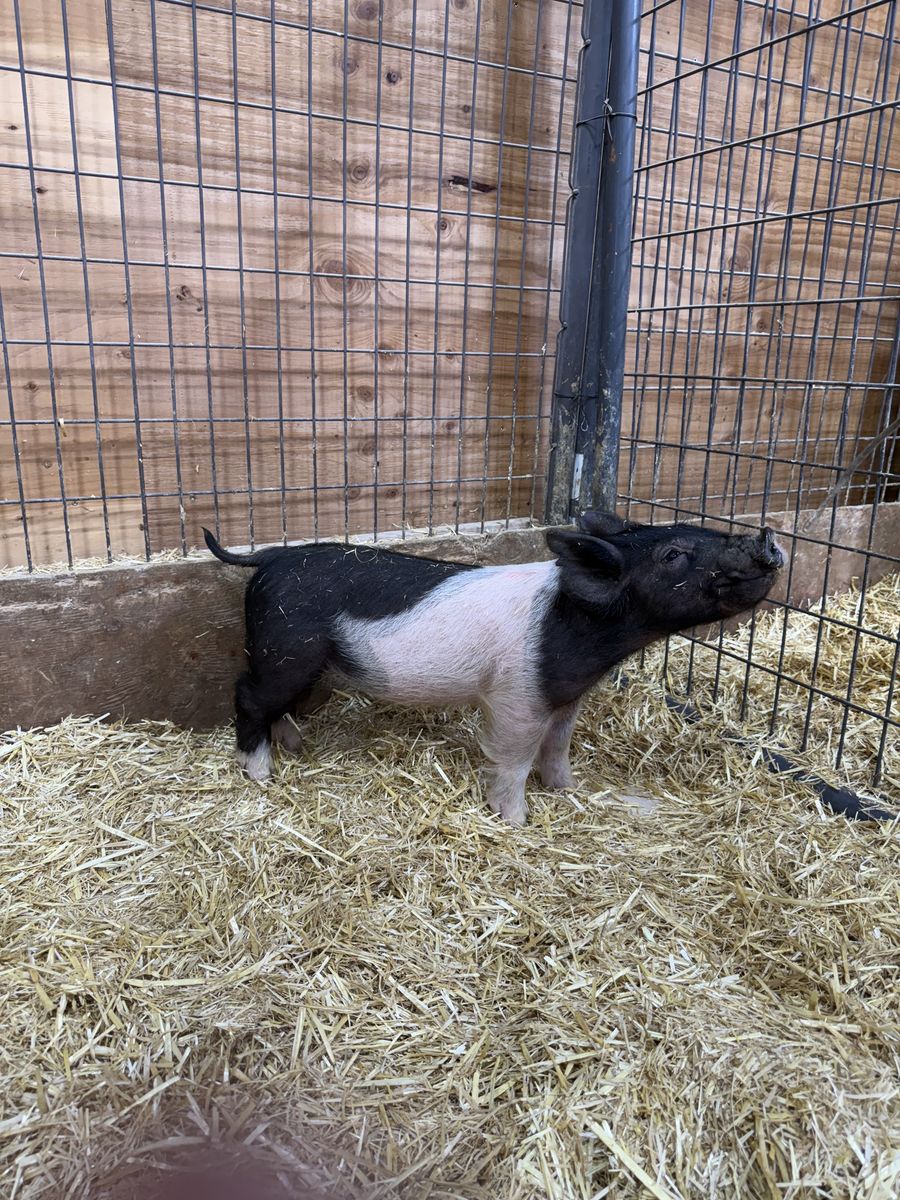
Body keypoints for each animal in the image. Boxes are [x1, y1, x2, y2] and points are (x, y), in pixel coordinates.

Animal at [204, 512, 783, 825]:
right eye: (673, 555)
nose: (766, 538)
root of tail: (269, 559)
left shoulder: (566, 696)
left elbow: (559, 746)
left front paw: (567, 790)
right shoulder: (517, 696)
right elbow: (514, 759)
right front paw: (516, 820)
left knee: (277, 706)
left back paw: (298, 748)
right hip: (285, 651)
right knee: (248, 696)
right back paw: (261, 775)